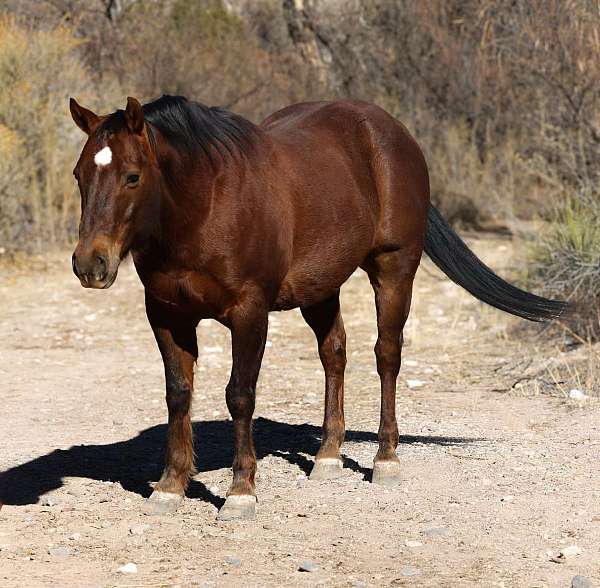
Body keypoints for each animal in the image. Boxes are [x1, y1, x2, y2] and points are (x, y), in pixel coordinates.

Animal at [68, 95, 564, 520]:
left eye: (133, 176)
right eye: (79, 174)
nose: (91, 264)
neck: (205, 205)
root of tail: (393, 132)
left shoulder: (249, 313)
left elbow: (240, 395)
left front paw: (241, 493)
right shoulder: (167, 315)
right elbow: (178, 394)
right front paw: (170, 487)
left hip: (394, 269)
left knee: (387, 356)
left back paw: (385, 459)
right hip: (320, 287)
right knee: (335, 354)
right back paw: (327, 455)